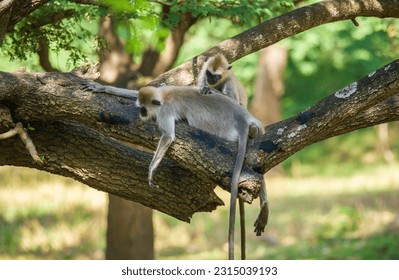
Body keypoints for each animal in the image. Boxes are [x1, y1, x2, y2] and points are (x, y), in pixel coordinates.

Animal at [138, 84, 266, 260]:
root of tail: (242, 117)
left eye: (143, 109)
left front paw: (151, 171)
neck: (164, 97)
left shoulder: (164, 112)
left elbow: (168, 136)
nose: (140, 113)